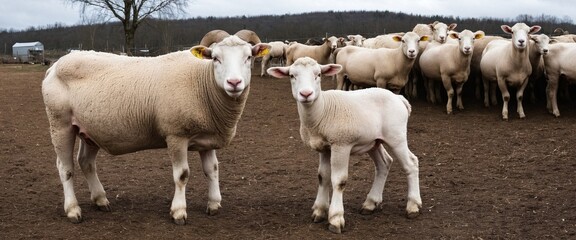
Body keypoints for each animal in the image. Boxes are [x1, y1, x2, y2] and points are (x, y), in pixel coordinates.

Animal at [41, 34, 272, 224]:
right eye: (215, 58)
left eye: (248, 57)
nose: (234, 82)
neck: (202, 84)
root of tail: (55, 66)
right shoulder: (176, 135)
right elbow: (182, 175)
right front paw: (178, 212)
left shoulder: (207, 138)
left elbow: (212, 170)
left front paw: (214, 204)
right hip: (60, 124)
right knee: (65, 168)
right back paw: (73, 210)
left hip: (90, 130)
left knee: (86, 163)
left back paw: (101, 200)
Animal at [264, 56, 418, 234]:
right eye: (291, 76)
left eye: (318, 74)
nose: (306, 94)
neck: (321, 111)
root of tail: (399, 98)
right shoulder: (324, 149)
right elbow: (322, 176)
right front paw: (319, 211)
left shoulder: (341, 144)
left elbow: (339, 180)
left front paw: (335, 219)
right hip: (374, 141)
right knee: (384, 163)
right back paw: (370, 204)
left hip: (396, 136)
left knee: (411, 164)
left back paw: (413, 206)